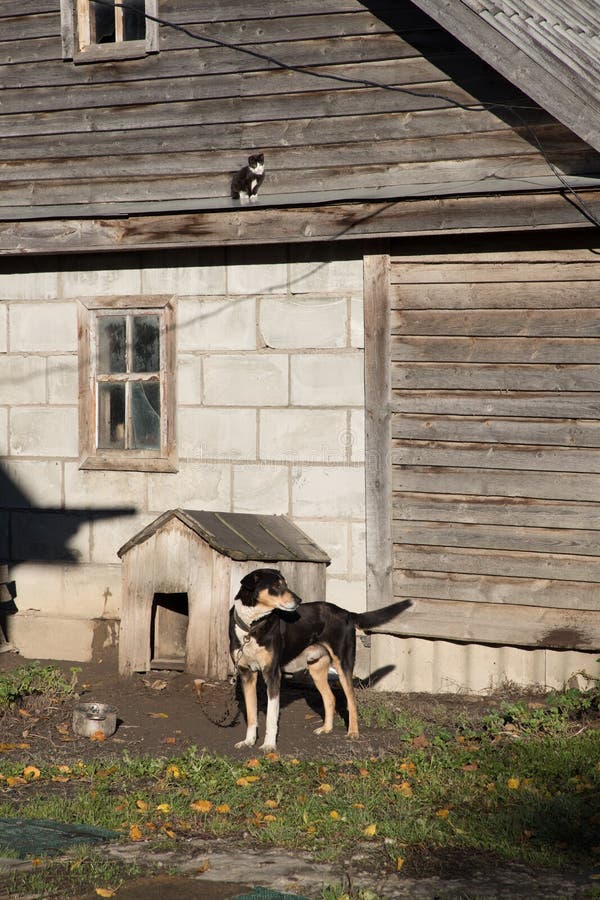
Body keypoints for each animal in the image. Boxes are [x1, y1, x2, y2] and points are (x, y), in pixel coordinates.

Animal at [230, 568, 412, 752]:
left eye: (286, 584)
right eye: (276, 586)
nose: (299, 600)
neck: (252, 626)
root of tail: (346, 613)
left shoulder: (272, 674)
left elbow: (271, 717)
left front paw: (268, 745)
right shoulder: (246, 675)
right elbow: (251, 715)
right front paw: (248, 741)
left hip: (343, 664)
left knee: (352, 701)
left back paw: (353, 732)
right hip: (316, 669)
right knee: (330, 698)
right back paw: (326, 729)